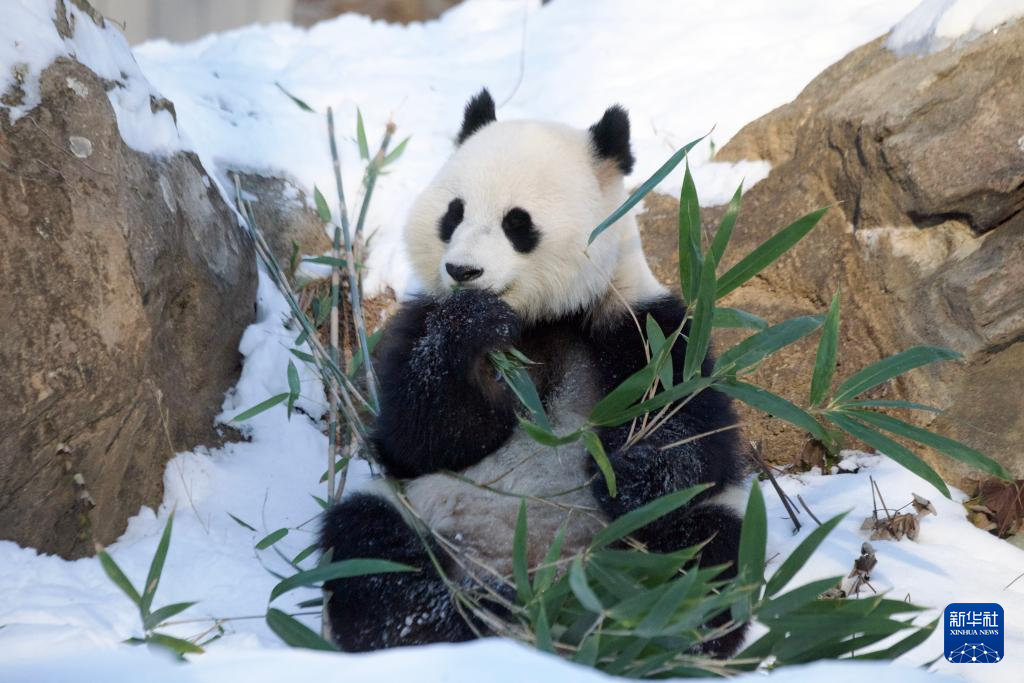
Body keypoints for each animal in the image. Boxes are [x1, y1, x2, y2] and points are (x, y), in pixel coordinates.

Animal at [315, 90, 749, 655]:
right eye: (453, 213)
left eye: (517, 223)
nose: (463, 271)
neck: (539, 319)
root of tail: (531, 584)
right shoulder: (419, 322)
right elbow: (421, 435)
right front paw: (469, 325)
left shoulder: (643, 329)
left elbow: (692, 434)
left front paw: (630, 463)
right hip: (414, 512)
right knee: (370, 548)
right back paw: (442, 626)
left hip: (660, 541)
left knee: (701, 554)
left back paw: (640, 626)